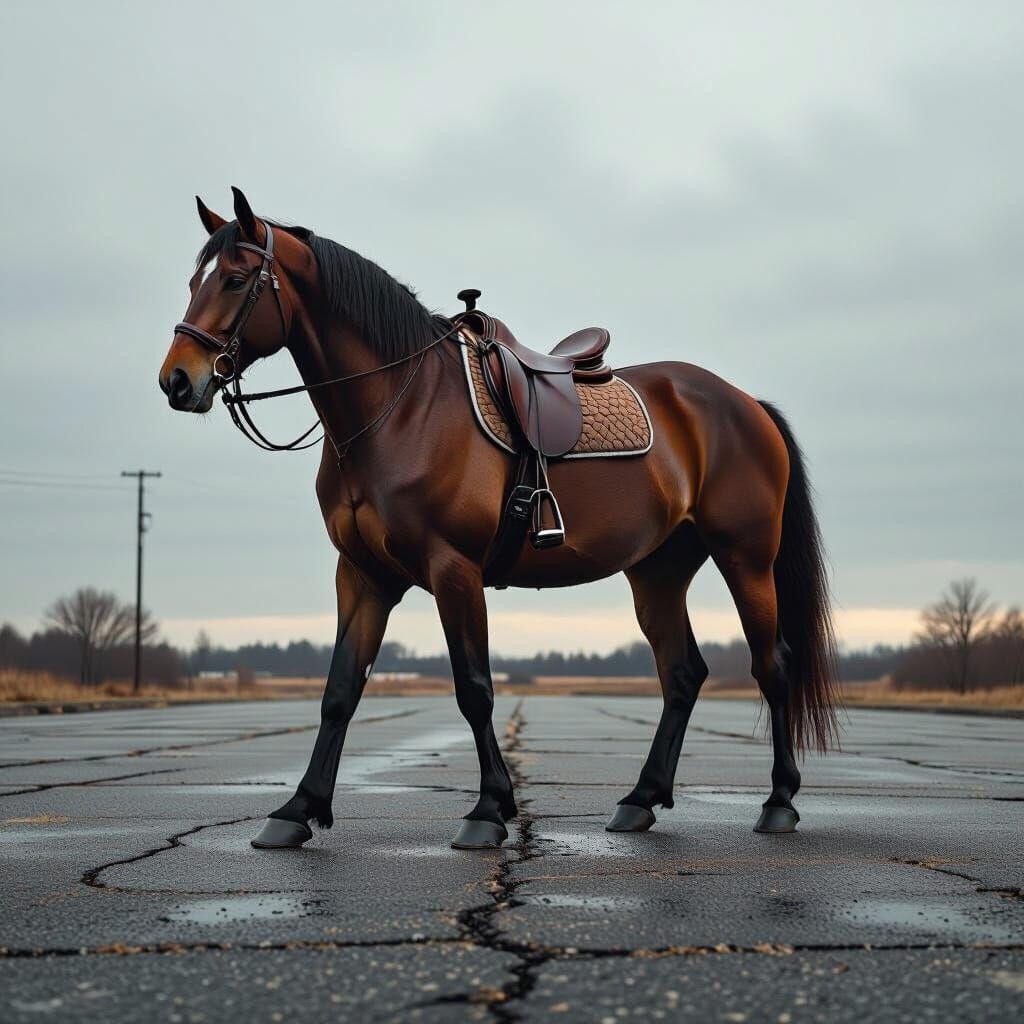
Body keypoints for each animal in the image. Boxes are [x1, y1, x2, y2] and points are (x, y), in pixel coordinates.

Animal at [159, 187, 839, 850]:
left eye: (237, 280)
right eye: (193, 280)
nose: (177, 381)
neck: (400, 408)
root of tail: (746, 403)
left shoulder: (453, 570)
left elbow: (474, 688)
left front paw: (489, 809)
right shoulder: (361, 576)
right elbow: (340, 693)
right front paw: (298, 809)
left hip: (746, 558)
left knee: (772, 665)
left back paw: (779, 803)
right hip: (658, 572)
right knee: (682, 674)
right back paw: (640, 800)